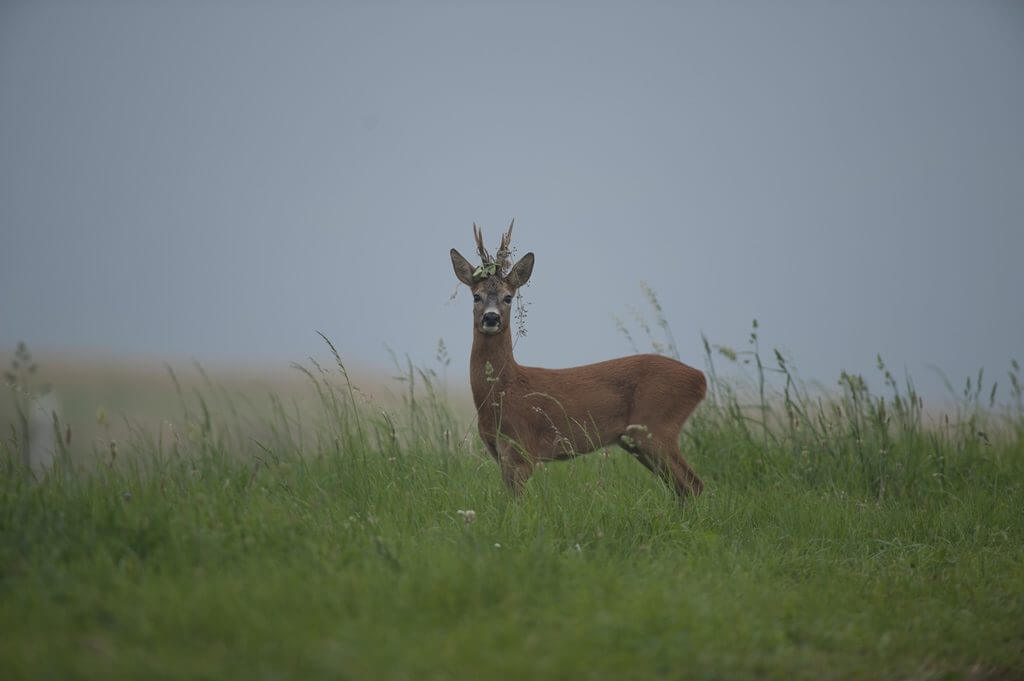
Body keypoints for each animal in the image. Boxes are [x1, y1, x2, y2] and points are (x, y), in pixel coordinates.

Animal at [452, 223, 708, 499]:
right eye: (476, 296)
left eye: (508, 297)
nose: (491, 318)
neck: (503, 390)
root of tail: (700, 379)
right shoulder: (498, 451)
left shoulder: (524, 447)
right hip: (638, 440)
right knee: (682, 488)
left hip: (657, 425)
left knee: (693, 484)